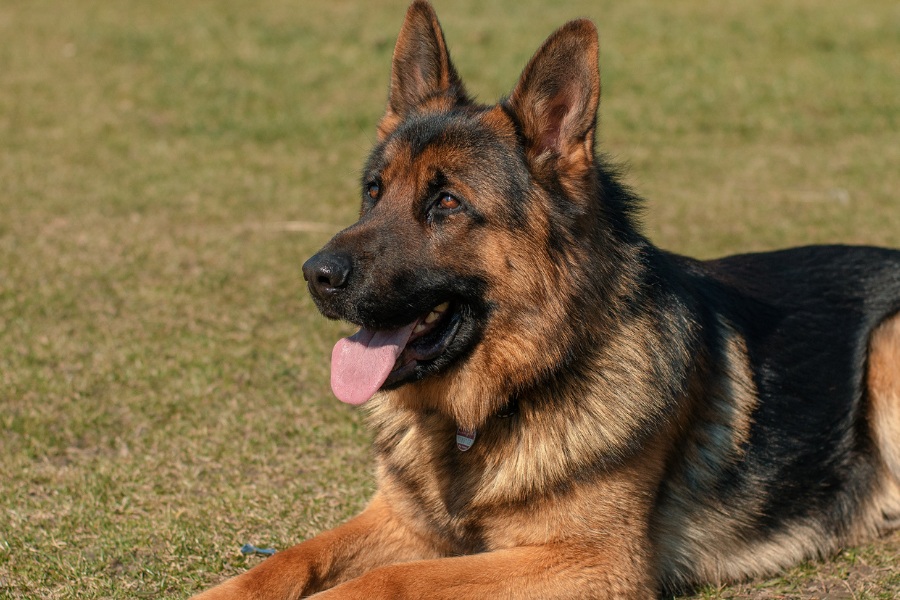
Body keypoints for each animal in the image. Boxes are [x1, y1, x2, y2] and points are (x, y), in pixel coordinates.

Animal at [197, 2, 900, 596]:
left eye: (446, 203)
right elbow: (290, 558)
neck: (488, 413)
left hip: (887, 346)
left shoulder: (590, 561)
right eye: (374, 191)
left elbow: (393, 580)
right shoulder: (400, 521)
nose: (315, 274)